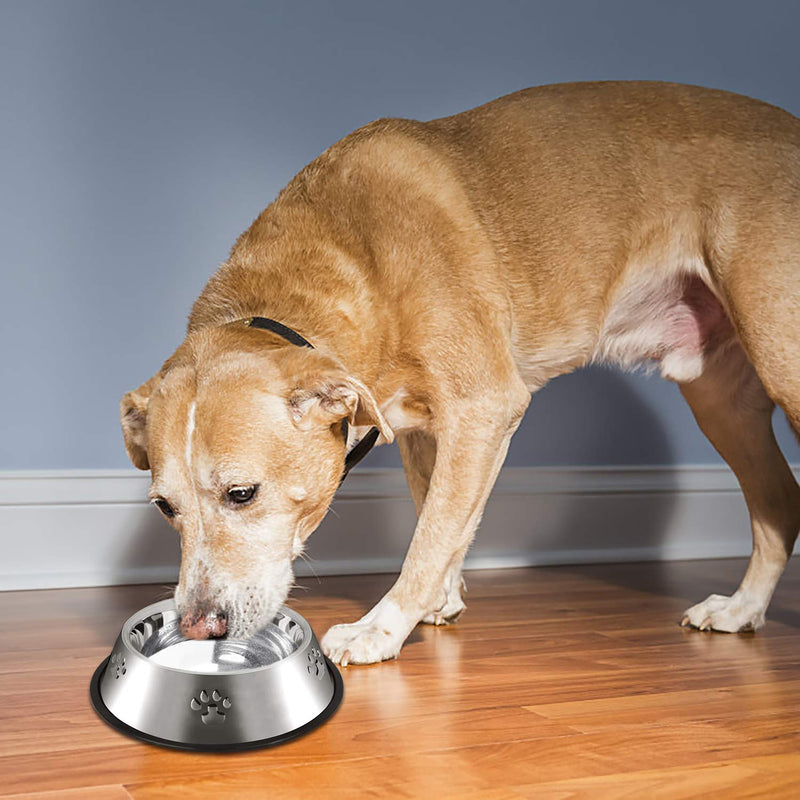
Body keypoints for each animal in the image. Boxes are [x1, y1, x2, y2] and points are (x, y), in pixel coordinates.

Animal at [119, 83, 800, 668]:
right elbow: (440, 515)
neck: (356, 258)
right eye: (164, 507)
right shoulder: (426, 432)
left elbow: (431, 535)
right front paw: (441, 599)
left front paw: (382, 627)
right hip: (720, 403)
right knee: (778, 502)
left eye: (242, 493)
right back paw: (742, 609)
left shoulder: (484, 407)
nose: (199, 627)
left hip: (782, 363)